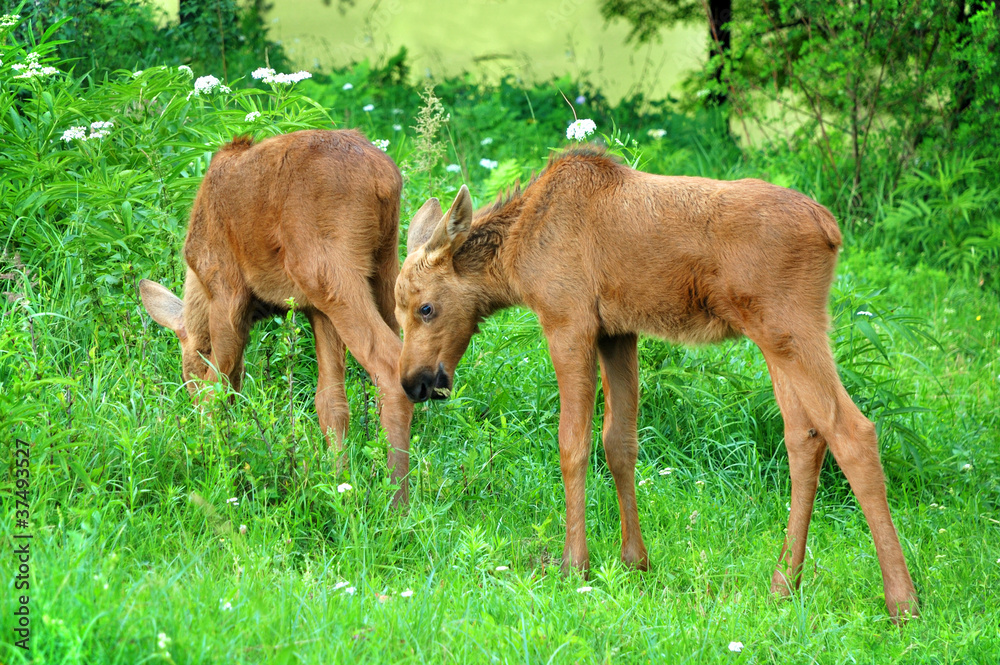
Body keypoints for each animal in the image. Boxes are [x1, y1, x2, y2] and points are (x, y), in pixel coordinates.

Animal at [139, 130, 412, 504]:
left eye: (188, 373)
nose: (188, 404)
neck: (198, 287)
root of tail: (383, 178)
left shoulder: (227, 292)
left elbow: (218, 390)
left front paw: (211, 462)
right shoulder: (315, 310)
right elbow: (330, 403)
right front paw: (338, 484)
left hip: (328, 272)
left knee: (388, 365)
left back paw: (398, 502)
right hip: (382, 269)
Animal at [394, 148, 916, 620]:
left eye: (426, 308)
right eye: (399, 312)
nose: (414, 383)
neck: (515, 255)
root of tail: (831, 230)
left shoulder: (568, 322)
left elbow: (572, 444)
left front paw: (574, 566)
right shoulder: (618, 332)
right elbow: (619, 442)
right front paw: (634, 561)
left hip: (789, 325)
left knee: (853, 431)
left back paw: (902, 602)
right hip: (779, 337)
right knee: (805, 436)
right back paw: (784, 584)